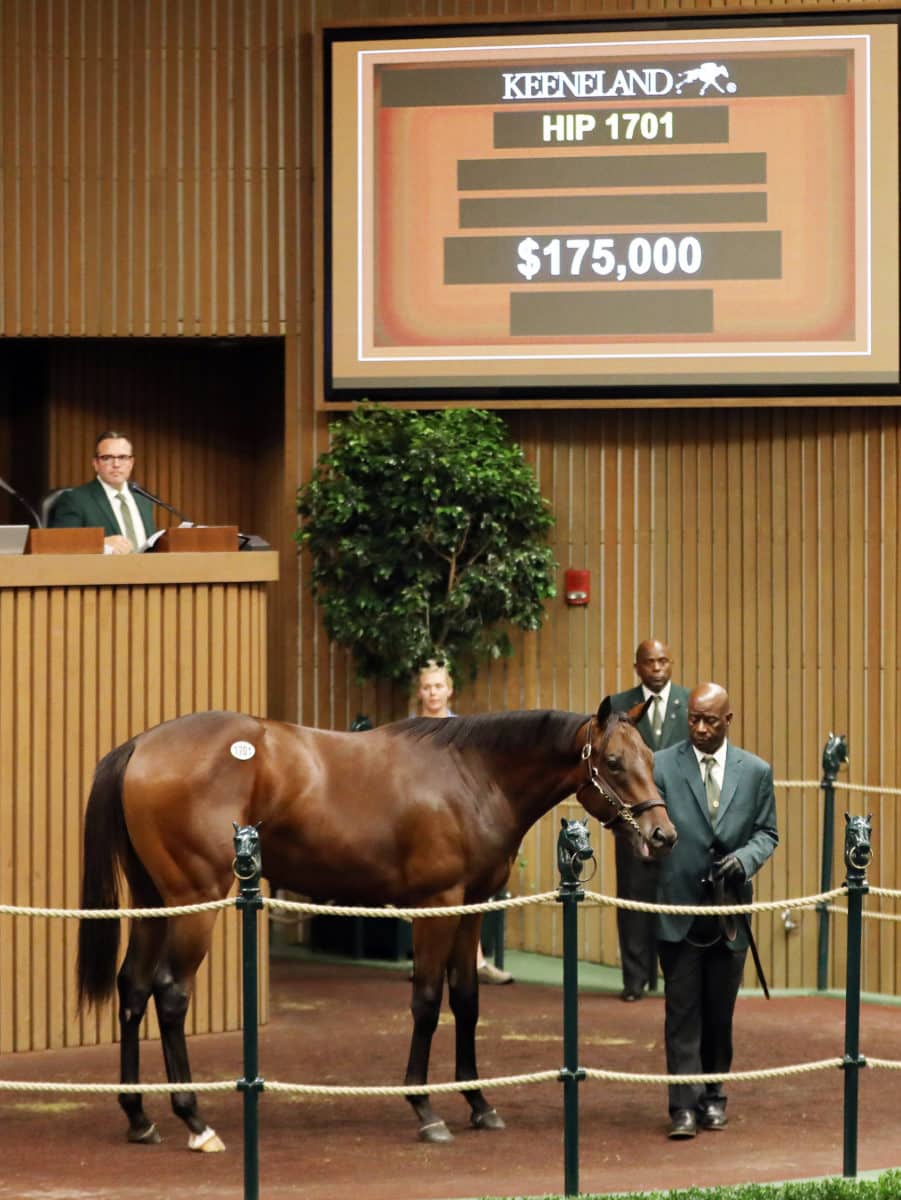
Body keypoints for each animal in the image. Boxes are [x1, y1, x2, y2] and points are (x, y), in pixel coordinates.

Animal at [77, 700, 676, 1147]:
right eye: (614, 761)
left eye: (650, 755)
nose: (663, 835)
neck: (472, 776)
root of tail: (141, 745)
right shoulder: (436, 906)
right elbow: (427, 1002)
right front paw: (424, 1108)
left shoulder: (470, 908)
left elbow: (466, 1000)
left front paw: (479, 1102)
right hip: (193, 901)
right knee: (170, 993)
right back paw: (195, 1120)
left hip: (155, 902)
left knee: (133, 987)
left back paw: (138, 1117)